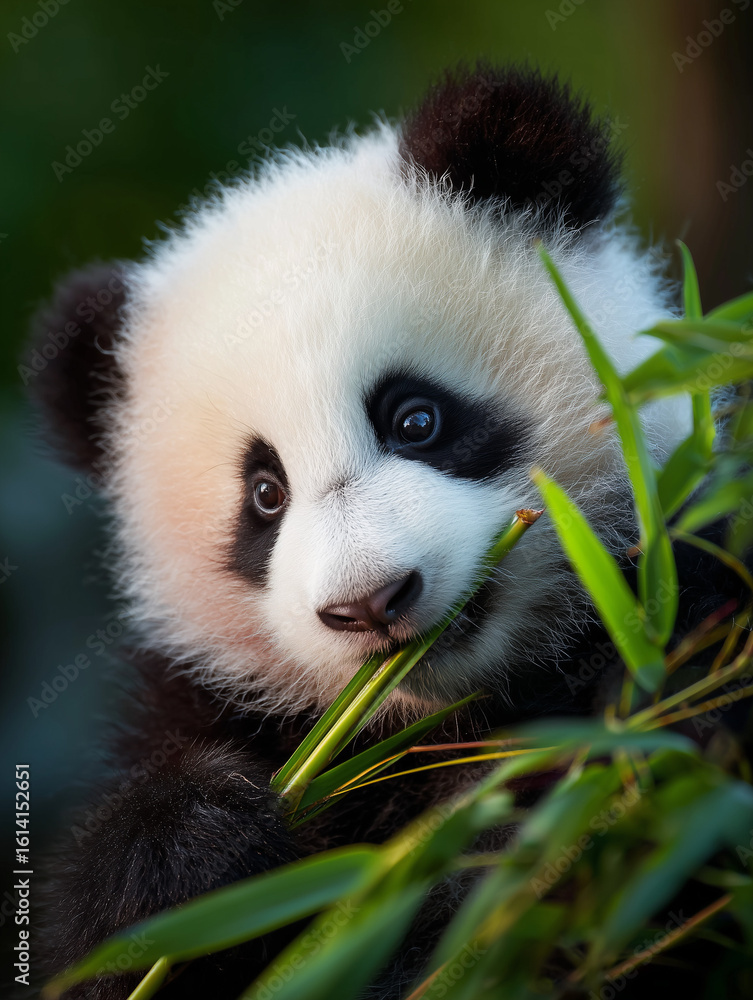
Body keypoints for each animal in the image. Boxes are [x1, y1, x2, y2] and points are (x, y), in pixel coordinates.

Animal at [30, 63, 744, 999]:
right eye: (264, 495)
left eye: (415, 419)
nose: (370, 601)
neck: (437, 720)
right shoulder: (209, 703)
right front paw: (193, 848)